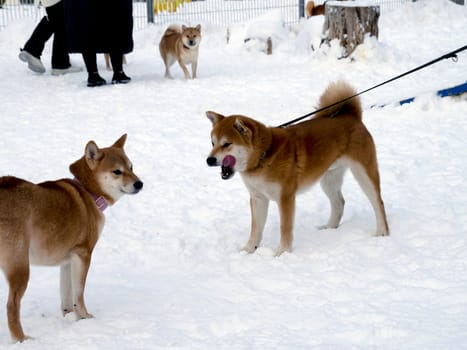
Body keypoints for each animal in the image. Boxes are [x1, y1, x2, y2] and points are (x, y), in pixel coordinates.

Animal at [0, 134, 143, 342]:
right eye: (117, 171)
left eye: (131, 167)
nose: (140, 183)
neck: (88, 193)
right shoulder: (83, 254)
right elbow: (79, 293)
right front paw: (85, 317)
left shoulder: (67, 260)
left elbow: (66, 293)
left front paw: (69, 316)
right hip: (20, 266)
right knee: (12, 306)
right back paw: (21, 339)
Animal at [207, 82, 390, 258]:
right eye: (213, 143)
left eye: (226, 144)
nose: (209, 160)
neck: (264, 156)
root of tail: (351, 116)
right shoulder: (258, 198)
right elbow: (256, 228)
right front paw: (248, 250)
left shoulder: (285, 198)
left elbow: (284, 227)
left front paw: (282, 252)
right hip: (329, 178)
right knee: (339, 202)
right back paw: (329, 228)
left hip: (363, 173)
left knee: (378, 203)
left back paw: (382, 232)